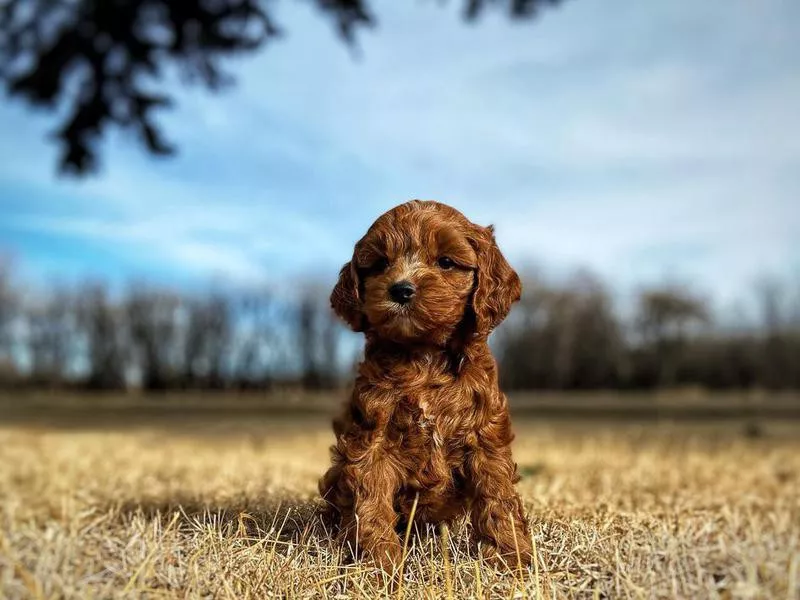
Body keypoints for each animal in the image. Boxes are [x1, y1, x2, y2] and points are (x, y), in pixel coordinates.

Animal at [318, 200, 532, 572]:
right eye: (380, 264)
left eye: (446, 262)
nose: (400, 289)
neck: (424, 355)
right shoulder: (371, 439)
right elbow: (370, 501)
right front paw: (380, 563)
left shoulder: (485, 435)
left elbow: (496, 494)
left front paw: (511, 555)